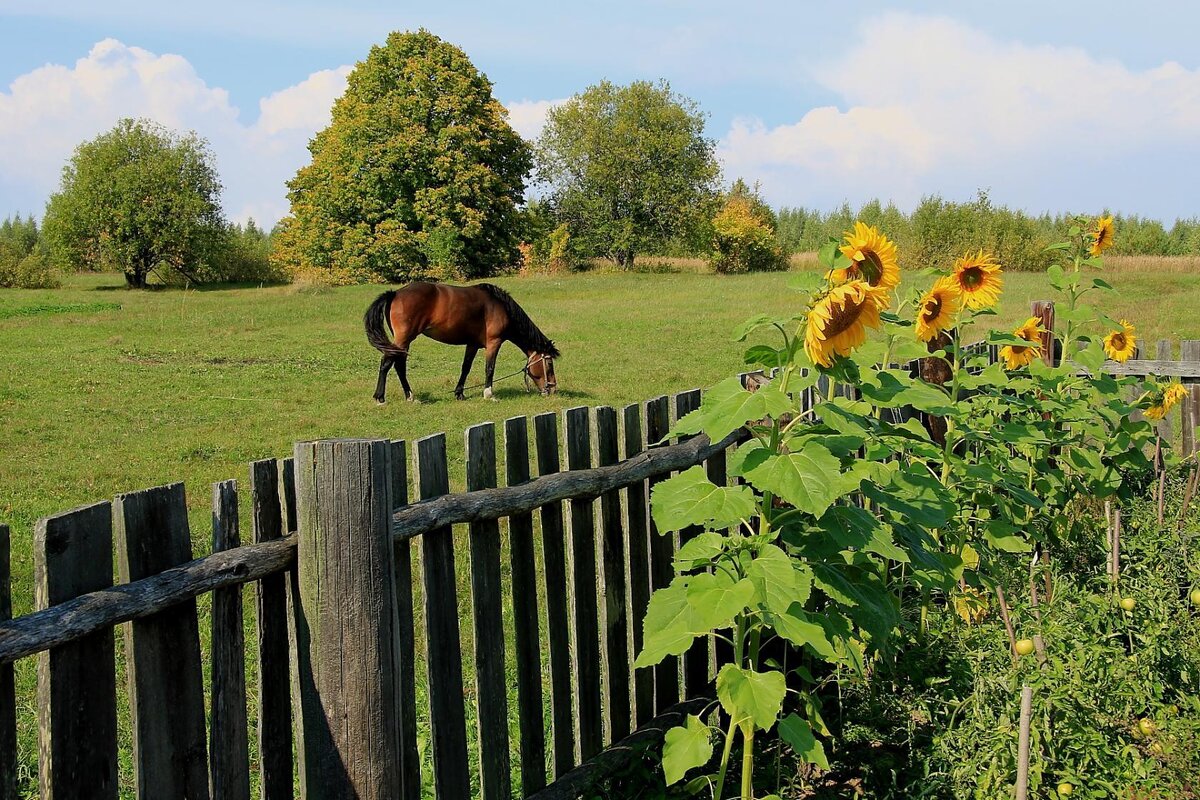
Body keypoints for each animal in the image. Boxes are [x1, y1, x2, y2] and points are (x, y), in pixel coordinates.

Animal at [362, 283, 559, 407]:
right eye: (549, 363)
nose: (553, 389)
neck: (500, 306)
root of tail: (394, 293)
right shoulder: (494, 343)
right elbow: (489, 368)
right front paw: (489, 394)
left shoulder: (472, 344)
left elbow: (466, 368)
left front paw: (459, 393)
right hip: (403, 339)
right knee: (387, 364)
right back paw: (380, 398)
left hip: (404, 342)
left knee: (399, 365)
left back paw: (410, 397)